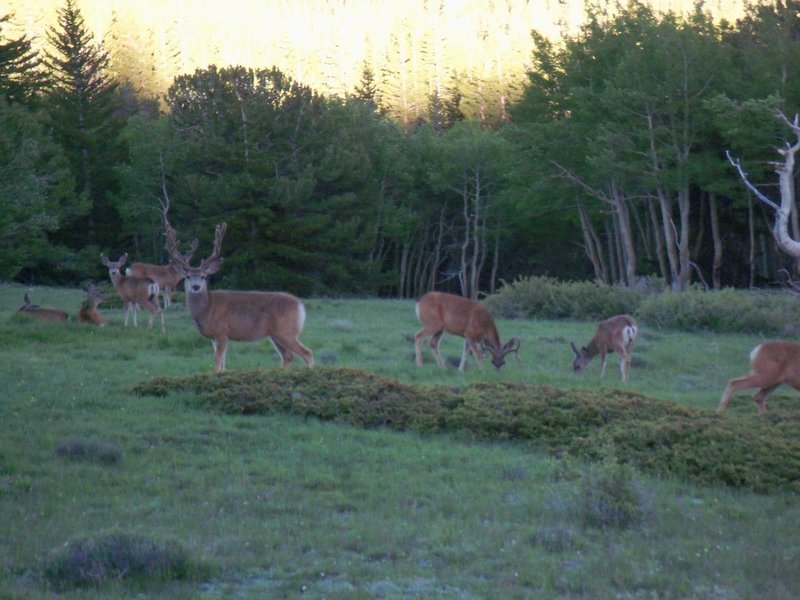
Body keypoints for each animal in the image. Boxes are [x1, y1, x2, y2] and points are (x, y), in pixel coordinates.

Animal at [167, 221, 314, 370]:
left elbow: (217, 362)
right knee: (288, 356)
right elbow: (223, 364)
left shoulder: (222, 332)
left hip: (286, 331)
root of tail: (300, 305)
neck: (207, 308)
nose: (195, 287)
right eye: (187, 277)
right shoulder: (214, 337)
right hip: (276, 334)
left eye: (203, 276)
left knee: (307, 353)